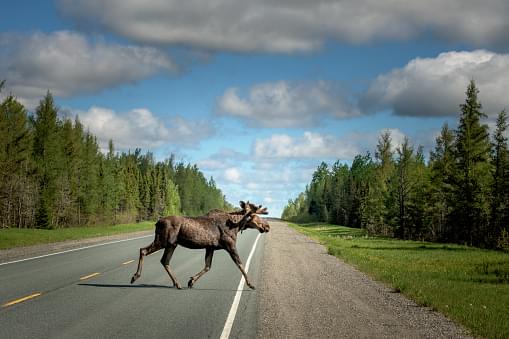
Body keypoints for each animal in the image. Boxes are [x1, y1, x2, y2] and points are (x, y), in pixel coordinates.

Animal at [130, 201, 270, 290]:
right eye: (252, 215)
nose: (267, 226)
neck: (235, 226)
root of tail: (157, 221)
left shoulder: (210, 247)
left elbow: (207, 266)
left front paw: (191, 281)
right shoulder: (230, 245)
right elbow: (241, 265)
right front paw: (251, 284)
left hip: (172, 244)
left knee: (164, 261)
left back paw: (177, 283)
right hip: (163, 241)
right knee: (143, 250)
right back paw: (135, 276)